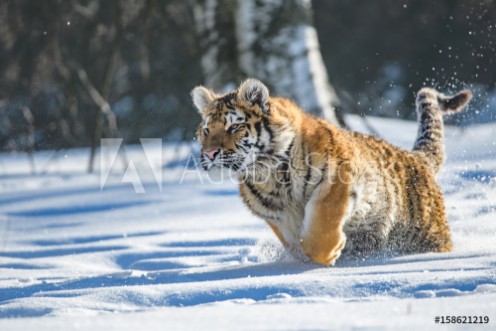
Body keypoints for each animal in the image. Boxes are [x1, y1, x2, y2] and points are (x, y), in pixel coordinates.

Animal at [191, 80, 472, 268]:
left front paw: (329, 254)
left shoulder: (337, 179)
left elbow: (319, 226)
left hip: (427, 235)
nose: (210, 153)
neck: (269, 175)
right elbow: (296, 238)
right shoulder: (278, 216)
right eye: (206, 130)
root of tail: (417, 158)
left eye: (234, 127)